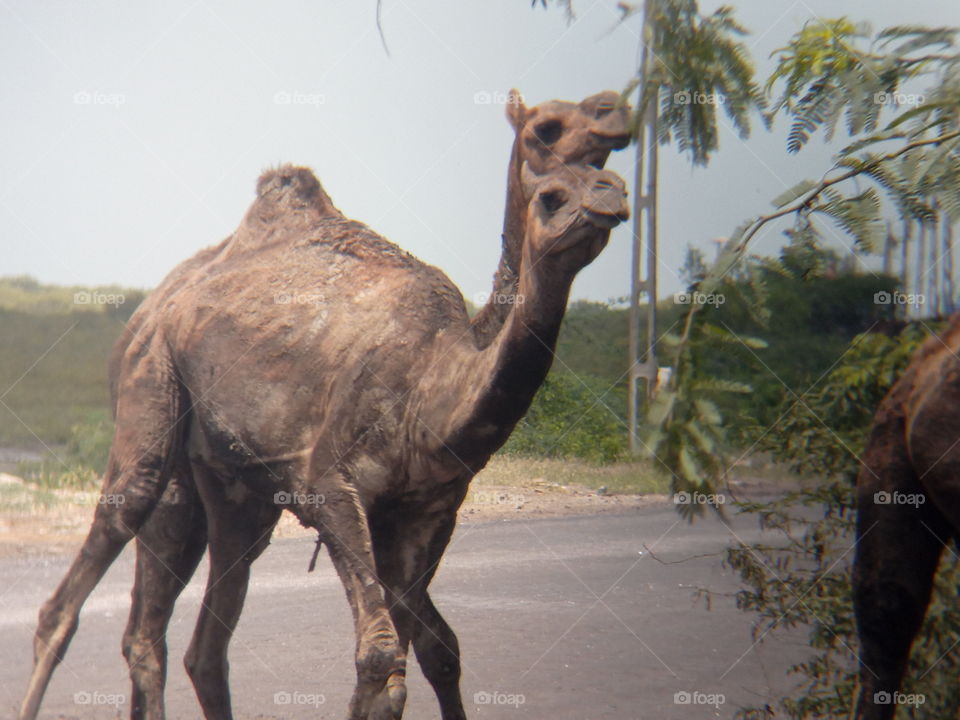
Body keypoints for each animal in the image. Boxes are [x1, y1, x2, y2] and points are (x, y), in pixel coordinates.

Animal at [18, 153, 629, 720]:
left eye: (610, 174)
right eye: (550, 195)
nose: (613, 194)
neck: (433, 392)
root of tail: (152, 304)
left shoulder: (428, 513)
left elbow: (418, 654)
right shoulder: (333, 485)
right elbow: (381, 655)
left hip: (235, 493)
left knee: (203, 637)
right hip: (150, 382)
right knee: (96, 564)